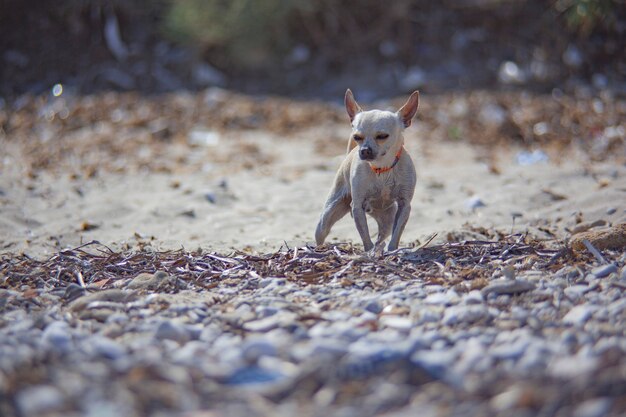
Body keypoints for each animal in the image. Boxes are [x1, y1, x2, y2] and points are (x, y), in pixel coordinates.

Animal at [312, 89, 420, 250]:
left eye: (382, 136)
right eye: (357, 137)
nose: (364, 150)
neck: (382, 168)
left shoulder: (404, 205)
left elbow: (397, 234)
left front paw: (392, 249)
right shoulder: (357, 207)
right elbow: (365, 236)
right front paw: (369, 251)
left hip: (387, 219)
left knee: (383, 234)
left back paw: (380, 247)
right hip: (328, 215)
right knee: (322, 231)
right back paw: (320, 249)